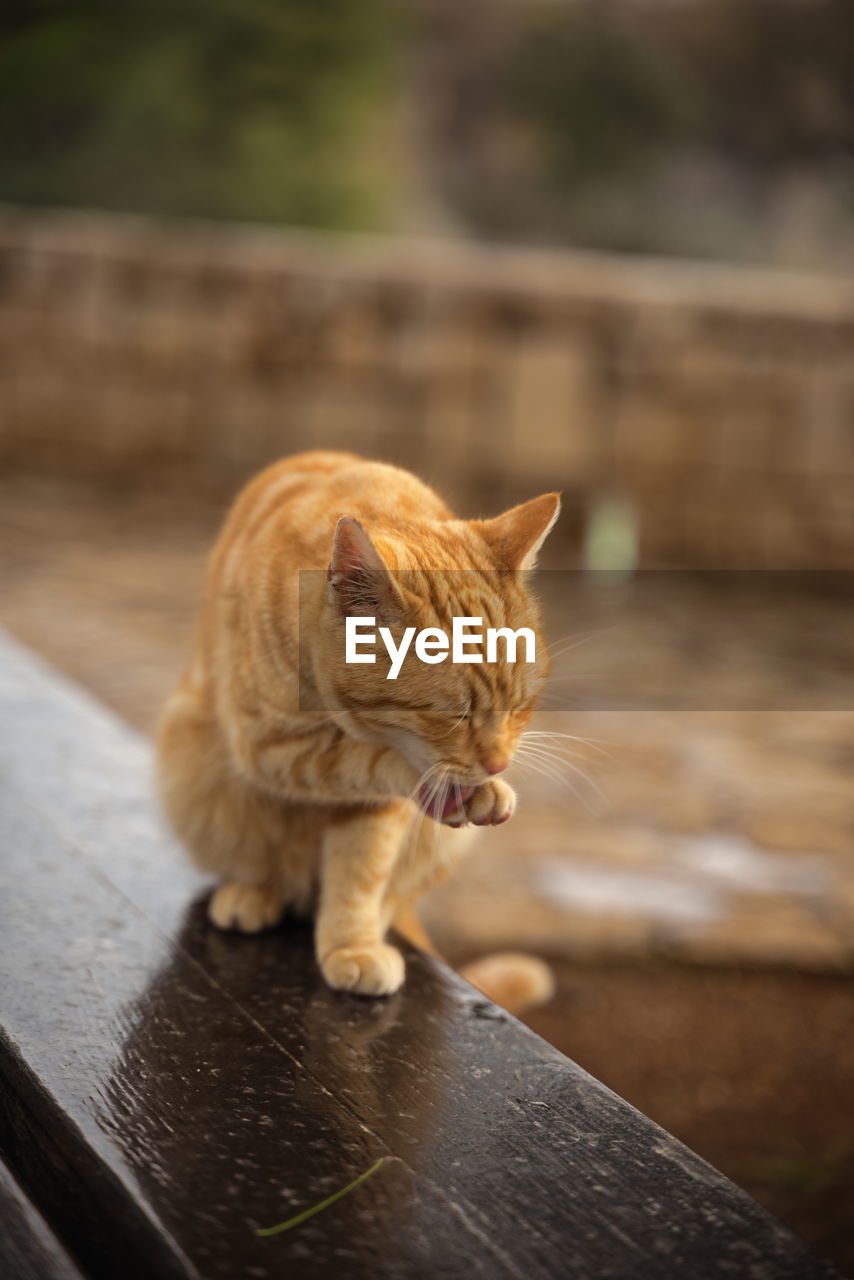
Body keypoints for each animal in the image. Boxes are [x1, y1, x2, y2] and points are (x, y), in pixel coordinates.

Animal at [158, 455, 560, 1013]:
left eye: (521, 705)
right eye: (451, 714)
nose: (498, 763)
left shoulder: (371, 807)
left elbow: (361, 873)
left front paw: (352, 943)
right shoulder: (267, 745)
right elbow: (378, 762)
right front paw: (454, 788)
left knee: (390, 897)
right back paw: (252, 894)